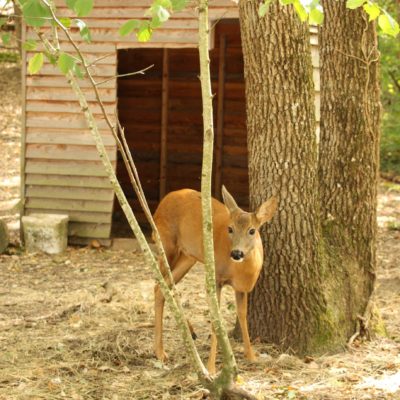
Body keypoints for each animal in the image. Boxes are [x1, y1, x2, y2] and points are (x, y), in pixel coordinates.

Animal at [153, 186, 278, 374]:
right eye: (230, 229)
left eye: (252, 230)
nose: (236, 253)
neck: (241, 272)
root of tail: (163, 202)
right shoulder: (216, 279)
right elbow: (216, 322)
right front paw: (211, 367)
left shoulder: (241, 288)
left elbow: (242, 315)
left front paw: (251, 356)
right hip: (166, 244)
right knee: (157, 284)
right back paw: (161, 352)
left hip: (188, 257)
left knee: (162, 287)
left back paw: (173, 343)